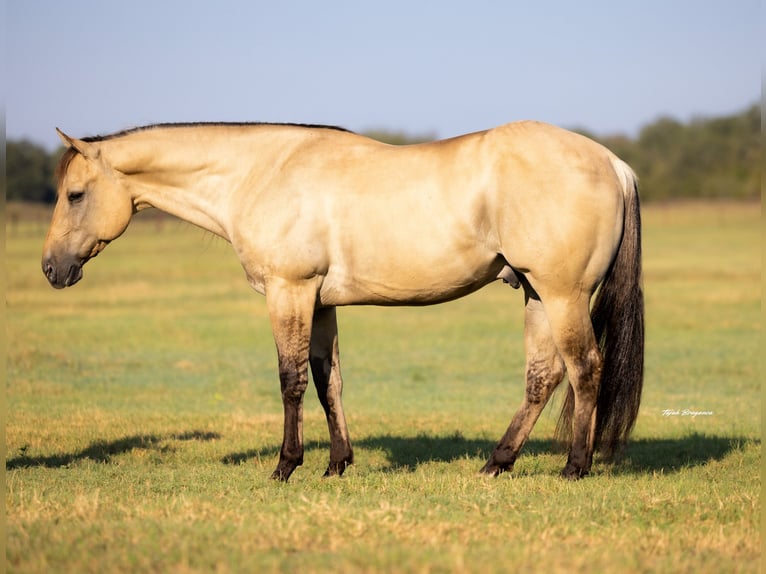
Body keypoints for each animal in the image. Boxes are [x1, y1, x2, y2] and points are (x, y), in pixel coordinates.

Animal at [43, 121, 644, 481]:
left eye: (75, 195)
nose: (51, 268)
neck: (260, 173)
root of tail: (613, 163)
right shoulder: (321, 302)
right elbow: (327, 378)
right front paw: (337, 464)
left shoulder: (289, 290)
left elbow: (291, 380)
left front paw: (285, 467)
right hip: (538, 294)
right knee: (544, 376)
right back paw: (496, 464)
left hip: (563, 294)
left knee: (584, 368)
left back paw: (574, 467)